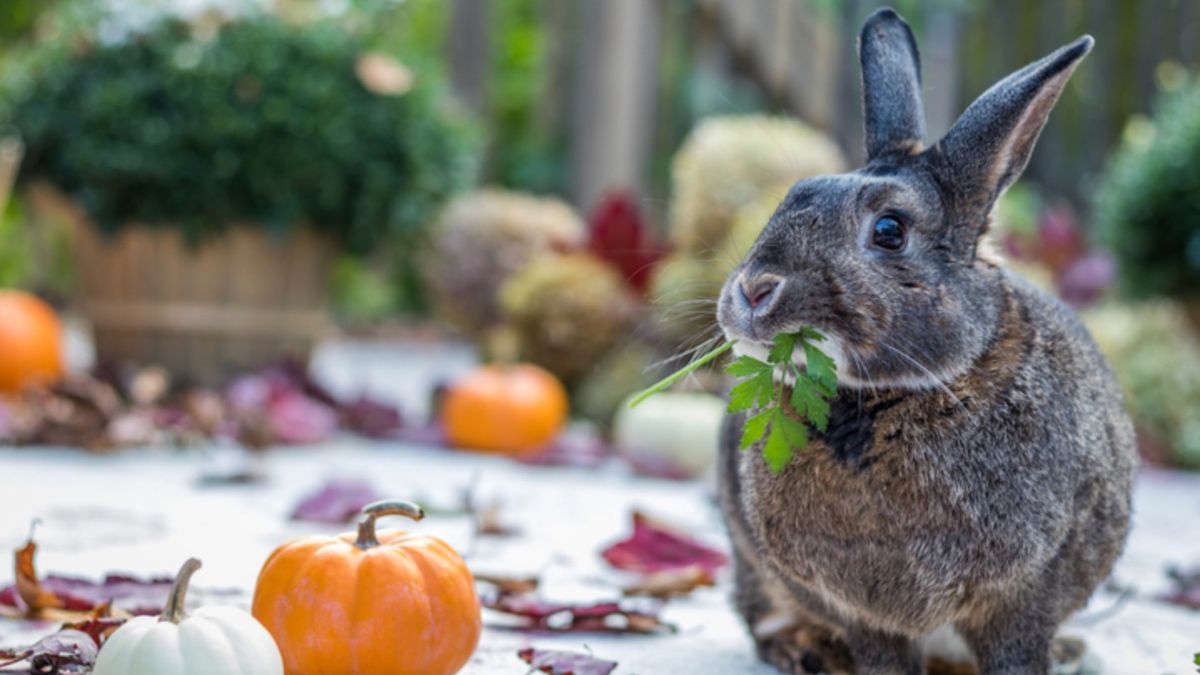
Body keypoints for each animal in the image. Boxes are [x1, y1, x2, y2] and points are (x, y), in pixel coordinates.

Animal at [715, 6, 1137, 672]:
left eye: (890, 230)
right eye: (791, 195)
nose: (753, 289)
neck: (882, 400)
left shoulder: (1025, 596)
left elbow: (1018, 649)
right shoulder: (861, 614)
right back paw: (806, 651)